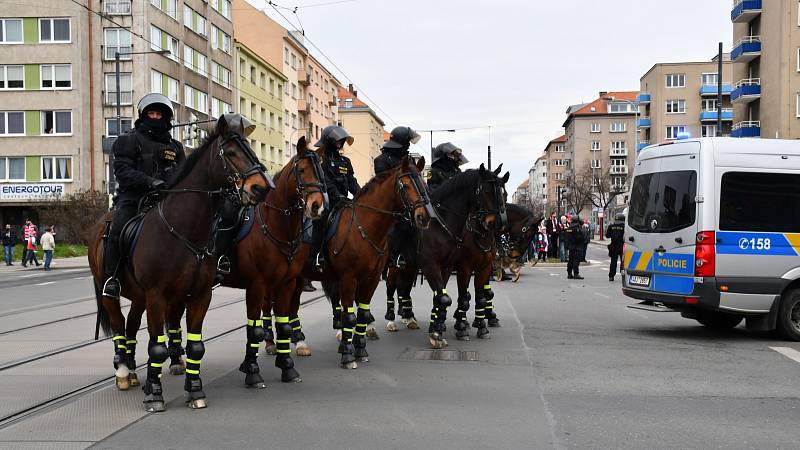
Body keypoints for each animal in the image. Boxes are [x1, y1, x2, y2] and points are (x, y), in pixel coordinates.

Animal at [86, 114, 268, 414]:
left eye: (251, 150)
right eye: (230, 153)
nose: (261, 187)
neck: (184, 230)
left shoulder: (199, 296)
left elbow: (196, 346)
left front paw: (194, 390)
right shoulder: (157, 296)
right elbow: (156, 348)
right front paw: (155, 395)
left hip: (139, 297)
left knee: (131, 326)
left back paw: (133, 371)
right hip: (110, 290)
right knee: (118, 325)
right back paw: (123, 371)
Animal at [219, 135, 324, 384]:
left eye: (321, 171)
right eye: (302, 170)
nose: (317, 205)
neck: (275, 224)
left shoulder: (286, 283)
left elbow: (284, 322)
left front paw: (287, 367)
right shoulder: (256, 285)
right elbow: (253, 326)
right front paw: (251, 371)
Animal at [310, 156, 432, 368]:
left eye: (424, 184)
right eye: (406, 185)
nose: (423, 217)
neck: (364, 229)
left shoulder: (371, 278)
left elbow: (362, 312)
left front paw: (360, 349)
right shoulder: (348, 278)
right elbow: (350, 315)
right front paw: (348, 355)